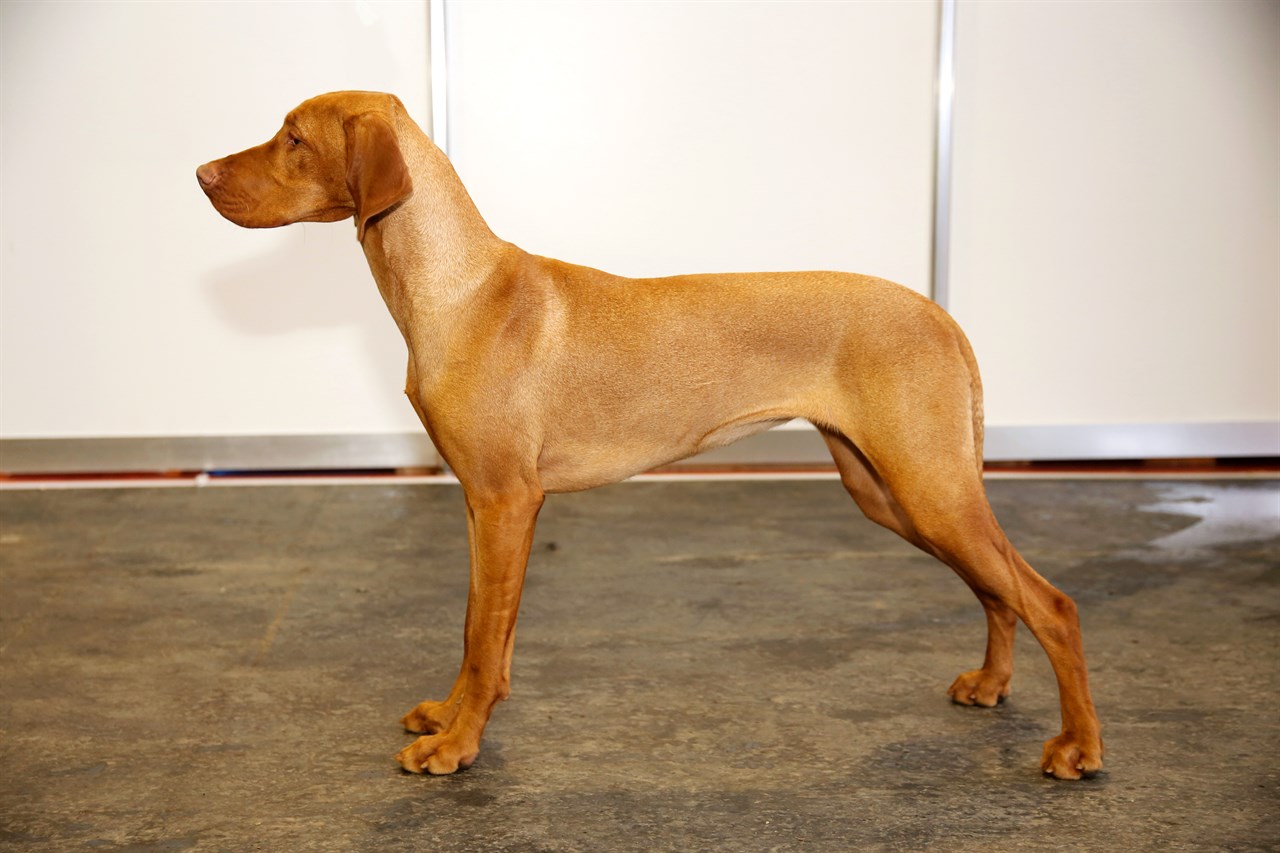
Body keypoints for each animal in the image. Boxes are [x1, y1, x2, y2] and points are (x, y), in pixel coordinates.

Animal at [194, 89, 1105, 773]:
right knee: (998, 589)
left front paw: (457, 746)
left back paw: (1077, 746)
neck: (460, 289)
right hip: (892, 490)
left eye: (293, 136)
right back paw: (992, 683)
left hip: (927, 484)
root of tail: (940, 313)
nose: (199, 172)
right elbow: (479, 626)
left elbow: (484, 635)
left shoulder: (506, 500)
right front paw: (454, 715)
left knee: (1051, 602)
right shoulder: (485, 504)